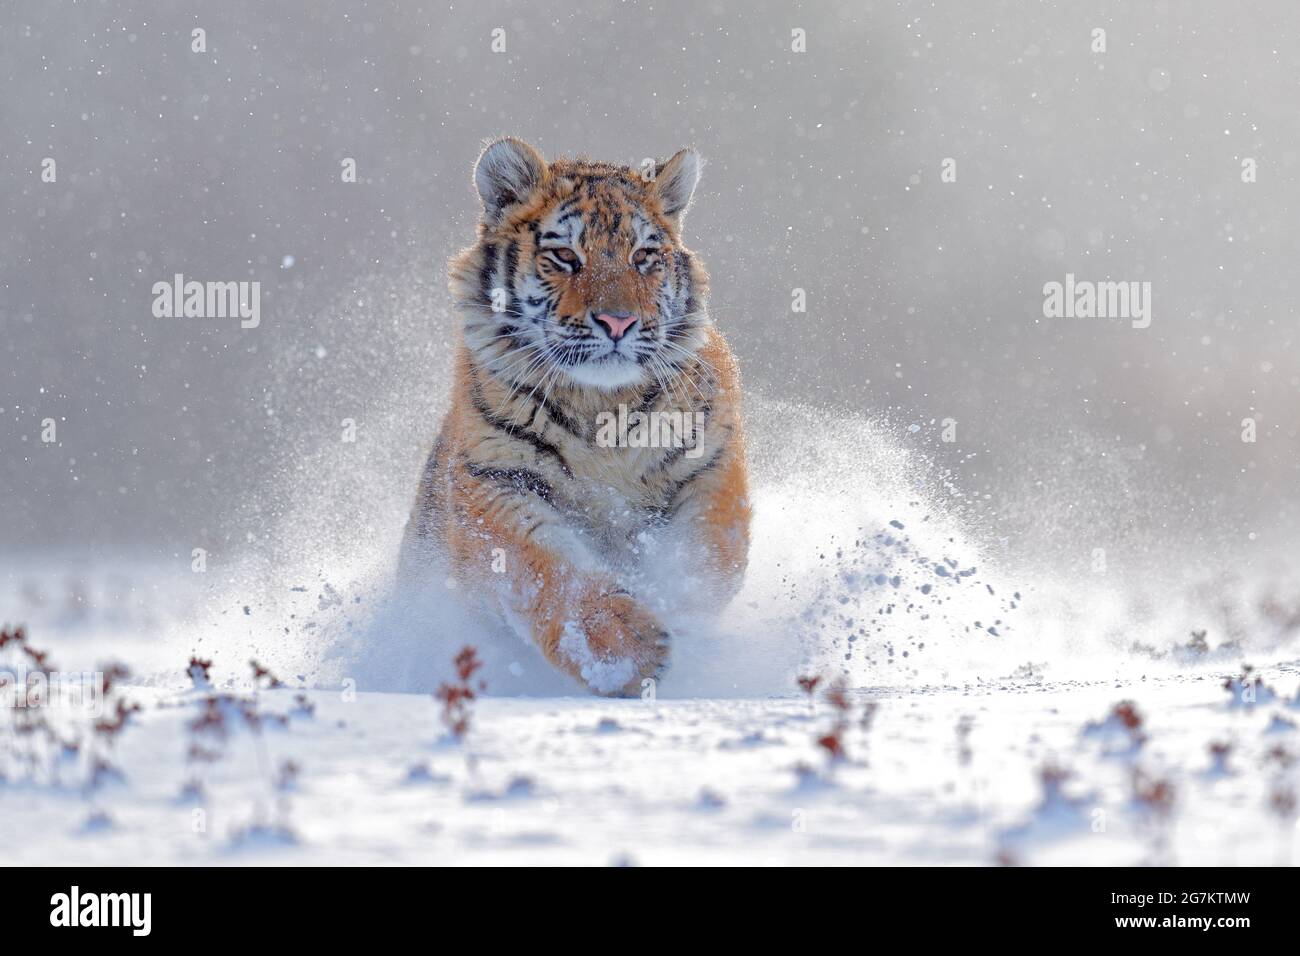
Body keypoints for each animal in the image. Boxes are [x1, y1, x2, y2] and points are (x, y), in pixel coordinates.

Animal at [403, 138, 754, 697]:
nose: (618, 321)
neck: (599, 405)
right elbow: (548, 569)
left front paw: (677, 614)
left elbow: (704, 567)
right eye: (566, 256)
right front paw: (625, 653)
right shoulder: (495, 480)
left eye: (643, 256)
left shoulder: (711, 466)